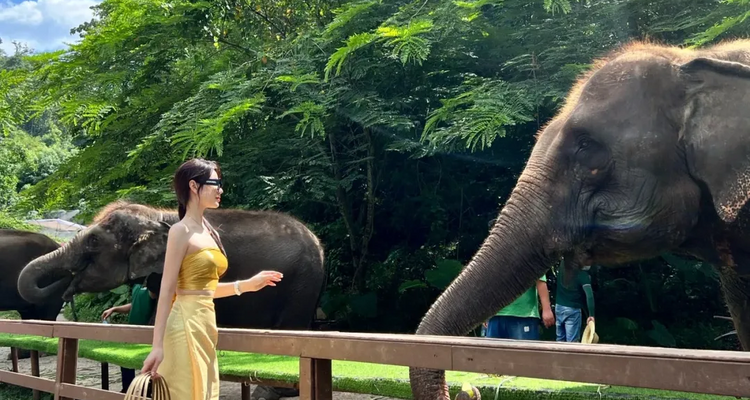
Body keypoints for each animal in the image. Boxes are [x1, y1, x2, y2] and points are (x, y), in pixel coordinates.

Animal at [17, 200, 326, 399]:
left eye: (93, 241)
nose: (68, 285)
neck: (156, 214)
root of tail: (318, 244)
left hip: (300, 283)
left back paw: (268, 393)